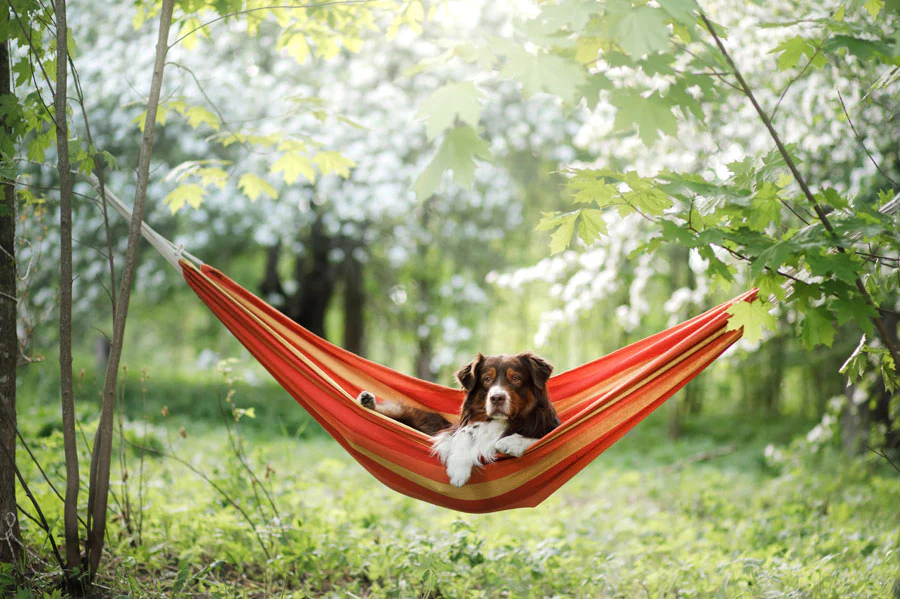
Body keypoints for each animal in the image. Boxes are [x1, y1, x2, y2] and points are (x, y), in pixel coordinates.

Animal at [356, 352, 556, 488]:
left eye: (515, 378)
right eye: (487, 379)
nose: (496, 398)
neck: (498, 421)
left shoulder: (547, 427)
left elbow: (535, 436)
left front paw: (511, 442)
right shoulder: (451, 431)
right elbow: (463, 435)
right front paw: (458, 470)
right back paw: (367, 401)